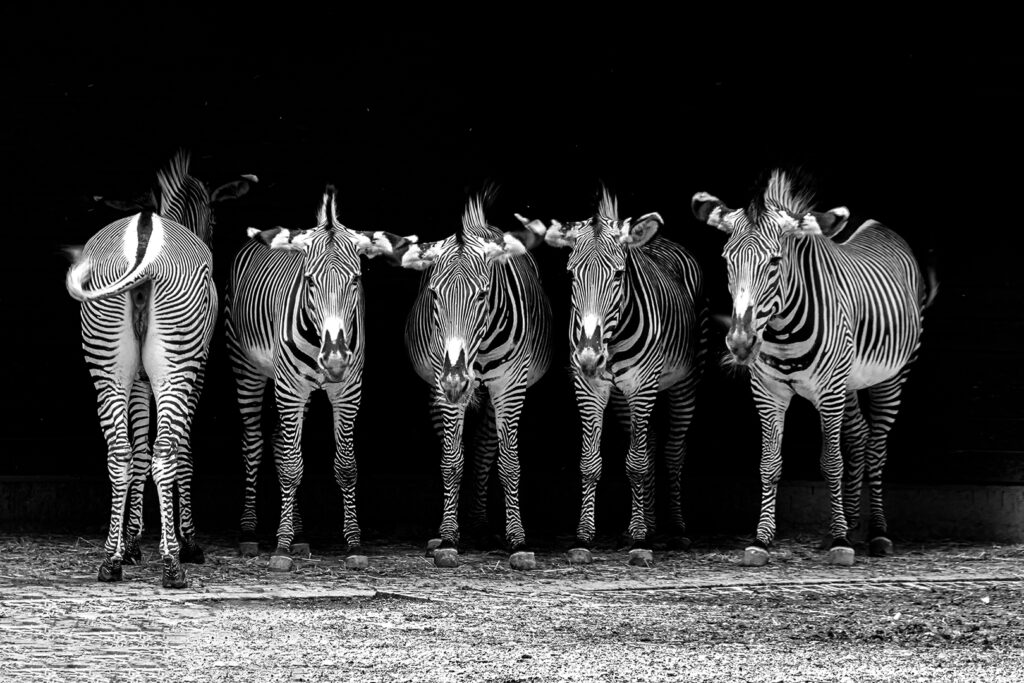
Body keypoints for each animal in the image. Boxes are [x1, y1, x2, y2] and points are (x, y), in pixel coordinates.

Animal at [65, 152, 250, 587]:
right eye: (214, 219)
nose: (213, 236)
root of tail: (144, 238)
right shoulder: (197, 372)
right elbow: (183, 453)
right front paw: (187, 542)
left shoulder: (136, 381)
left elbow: (136, 450)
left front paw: (131, 543)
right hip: (177, 366)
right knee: (166, 455)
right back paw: (172, 565)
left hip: (107, 363)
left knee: (119, 453)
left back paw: (110, 561)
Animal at [224, 185, 411, 571]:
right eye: (309, 281)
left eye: (356, 279)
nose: (335, 359)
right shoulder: (290, 389)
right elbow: (292, 466)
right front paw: (280, 548)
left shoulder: (348, 391)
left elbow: (346, 466)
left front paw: (353, 544)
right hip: (247, 368)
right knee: (254, 445)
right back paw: (249, 533)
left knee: (279, 444)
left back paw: (299, 534)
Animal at [400, 194, 552, 569]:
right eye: (434, 295)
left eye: (483, 295)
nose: (457, 380)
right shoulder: (443, 386)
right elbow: (452, 460)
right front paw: (448, 536)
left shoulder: (510, 386)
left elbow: (509, 463)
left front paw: (517, 539)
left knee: (484, 449)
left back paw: (482, 526)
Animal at [516, 190, 707, 565]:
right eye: (572, 275)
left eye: (618, 275)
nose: (591, 356)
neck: (612, 340)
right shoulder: (589, 387)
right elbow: (591, 462)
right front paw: (586, 536)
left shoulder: (643, 386)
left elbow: (636, 464)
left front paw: (640, 537)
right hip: (623, 398)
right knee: (648, 444)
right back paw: (646, 524)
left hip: (684, 383)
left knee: (673, 452)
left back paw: (675, 528)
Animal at [692, 169, 936, 567]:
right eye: (727, 259)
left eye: (775, 261)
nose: (741, 344)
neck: (783, 329)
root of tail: (879, 225)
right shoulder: (768, 393)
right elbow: (769, 463)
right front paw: (762, 540)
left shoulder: (829, 392)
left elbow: (831, 462)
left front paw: (840, 541)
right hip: (850, 382)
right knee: (860, 436)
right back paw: (851, 522)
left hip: (892, 378)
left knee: (877, 447)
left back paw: (877, 533)